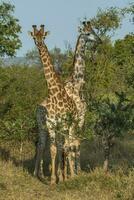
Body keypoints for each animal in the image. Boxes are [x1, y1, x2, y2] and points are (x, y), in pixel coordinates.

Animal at [29, 24, 77, 184]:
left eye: (43, 36)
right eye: (34, 36)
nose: (39, 43)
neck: (54, 93)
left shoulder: (62, 124)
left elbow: (62, 147)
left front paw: (61, 178)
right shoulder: (51, 124)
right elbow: (53, 149)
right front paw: (52, 179)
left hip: (71, 125)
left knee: (69, 144)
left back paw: (71, 175)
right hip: (45, 126)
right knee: (46, 145)